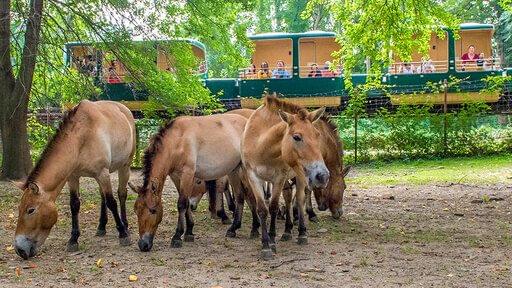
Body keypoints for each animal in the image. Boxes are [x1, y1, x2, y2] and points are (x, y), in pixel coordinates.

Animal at [14, 100, 135, 258]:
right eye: (19, 208)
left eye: (31, 210)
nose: (19, 250)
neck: (81, 138)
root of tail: (124, 109)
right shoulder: (73, 177)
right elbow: (74, 205)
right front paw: (73, 239)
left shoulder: (102, 173)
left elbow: (112, 202)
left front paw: (123, 234)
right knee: (102, 196)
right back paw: (101, 227)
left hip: (124, 166)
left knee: (121, 194)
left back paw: (125, 224)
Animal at [134, 113, 248, 251]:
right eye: (136, 211)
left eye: (153, 210)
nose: (143, 244)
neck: (177, 141)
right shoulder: (176, 177)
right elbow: (187, 202)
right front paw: (189, 231)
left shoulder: (187, 174)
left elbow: (182, 204)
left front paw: (177, 236)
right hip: (234, 170)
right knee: (240, 196)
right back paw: (233, 228)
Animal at [240, 95, 328, 260]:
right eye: (297, 137)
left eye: (317, 135)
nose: (323, 176)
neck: (262, 146)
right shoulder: (253, 177)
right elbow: (262, 209)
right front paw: (265, 245)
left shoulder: (279, 177)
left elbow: (273, 207)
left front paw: (272, 242)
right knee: (288, 198)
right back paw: (287, 232)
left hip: (300, 175)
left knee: (299, 200)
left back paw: (301, 233)